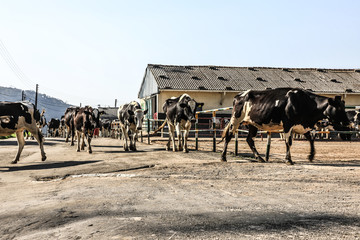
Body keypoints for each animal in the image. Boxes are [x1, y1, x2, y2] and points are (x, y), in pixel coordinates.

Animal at [221, 88, 350, 165]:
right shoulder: (288, 124)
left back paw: (259, 158)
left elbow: (310, 139)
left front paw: (311, 156)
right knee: (229, 136)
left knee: (249, 140)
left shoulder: (302, 125)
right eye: (339, 108)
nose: (348, 123)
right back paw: (223, 157)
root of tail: (239, 95)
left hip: (253, 124)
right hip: (236, 119)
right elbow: (289, 142)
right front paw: (289, 160)